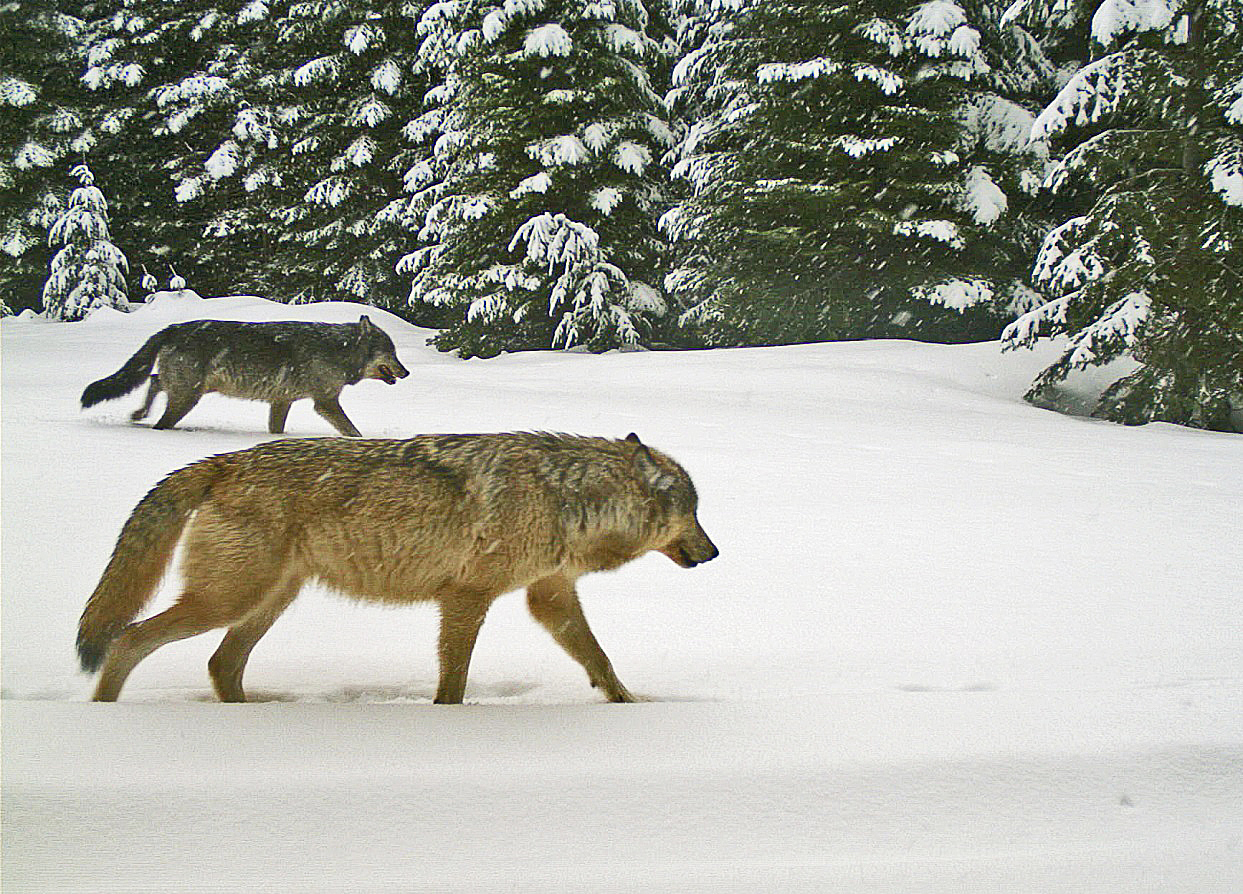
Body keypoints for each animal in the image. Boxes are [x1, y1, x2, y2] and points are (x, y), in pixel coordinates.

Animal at [77, 430, 720, 701]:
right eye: (694, 512)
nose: (715, 552)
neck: (566, 495)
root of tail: (222, 460)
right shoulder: (467, 596)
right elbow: (453, 680)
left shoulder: (549, 595)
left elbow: (601, 661)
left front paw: (630, 707)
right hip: (228, 600)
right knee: (129, 639)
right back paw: (103, 717)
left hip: (269, 600)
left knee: (220, 665)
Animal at [82, 318, 412, 437]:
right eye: (393, 352)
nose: (407, 372)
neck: (339, 350)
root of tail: (173, 328)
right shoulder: (325, 402)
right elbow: (353, 431)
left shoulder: (282, 402)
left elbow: (276, 431)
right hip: (188, 397)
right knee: (161, 417)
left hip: (191, 390)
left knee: (152, 380)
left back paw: (138, 414)